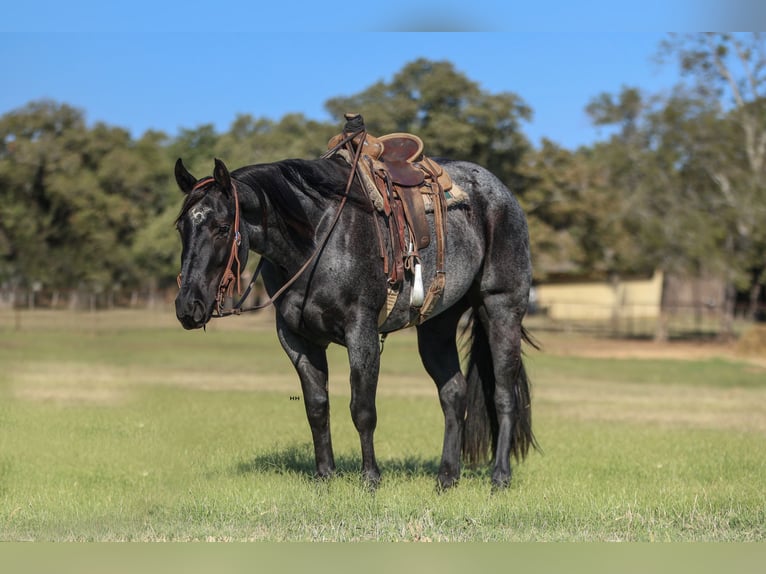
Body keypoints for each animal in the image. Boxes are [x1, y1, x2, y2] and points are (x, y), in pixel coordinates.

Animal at [176, 136, 540, 490]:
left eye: (223, 227)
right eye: (181, 227)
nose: (187, 306)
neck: (317, 238)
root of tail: (502, 194)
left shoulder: (361, 331)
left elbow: (362, 409)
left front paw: (371, 478)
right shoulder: (297, 338)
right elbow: (316, 407)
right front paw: (325, 476)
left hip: (501, 310)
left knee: (504, 394)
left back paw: (500, 477)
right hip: (436, 327)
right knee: (454, 394)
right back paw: (447, 478)